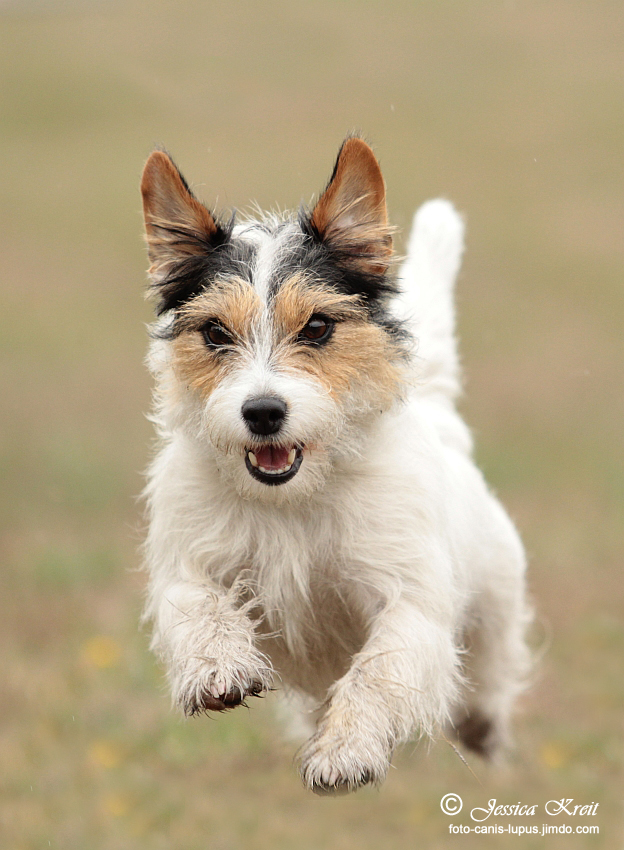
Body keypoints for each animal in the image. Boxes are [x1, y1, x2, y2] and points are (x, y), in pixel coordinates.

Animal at [140, 136, 532, 792]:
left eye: (318, 326)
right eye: (216, 332)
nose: (263, 412)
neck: (294, 499)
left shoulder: (408, 599)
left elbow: (378, 669)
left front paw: (345, 753)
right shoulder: (188, 558)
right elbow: (195, 603)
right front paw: (217, 669)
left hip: (493, 602)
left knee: (491, 670)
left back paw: (481, 726)